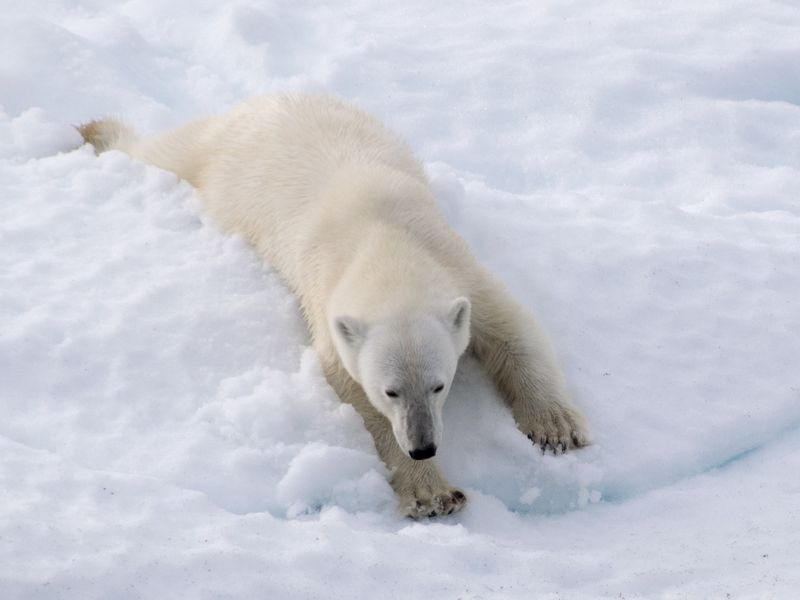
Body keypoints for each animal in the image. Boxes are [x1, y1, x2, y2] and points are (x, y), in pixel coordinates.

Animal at [78, 94, 591, 518]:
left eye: (439, 384)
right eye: (390, 391)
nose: (423, 447)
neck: (385, 242)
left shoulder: (455, 264)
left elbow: (511, 327)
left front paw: (556, 430)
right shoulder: (328, 297)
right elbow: (351, 387)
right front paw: (433, 495)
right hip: (220, 161)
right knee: (165, 152)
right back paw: (97, 132)